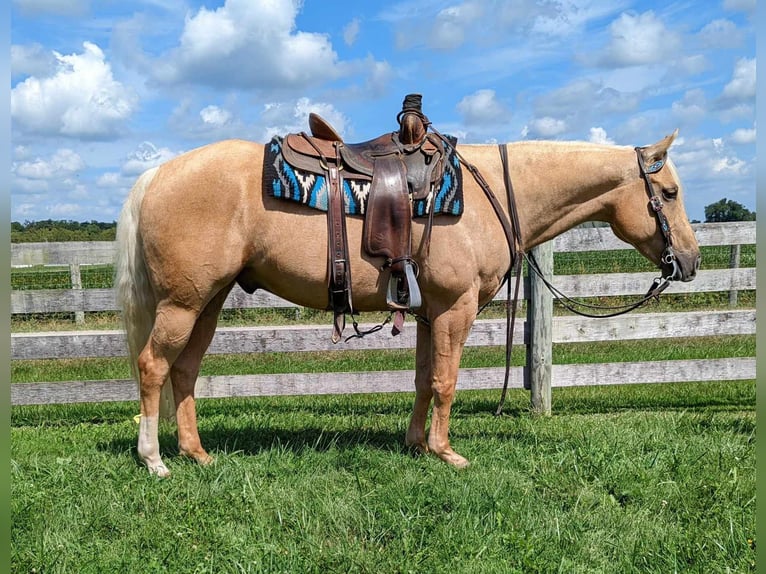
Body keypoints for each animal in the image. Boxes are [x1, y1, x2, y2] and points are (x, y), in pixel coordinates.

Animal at [115, 129, 704, 476]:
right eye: (670, 194)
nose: (691, 261)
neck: (489, 193)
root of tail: (156, 174)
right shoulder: (455, 310)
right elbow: (446, 382)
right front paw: (447, 453)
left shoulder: (427, 313)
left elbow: (424, 380)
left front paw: (417, 444)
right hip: (183, 302)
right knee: (152, 366)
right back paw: (154, 459)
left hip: (207, 301)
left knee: (184, 370)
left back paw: (196, 452)